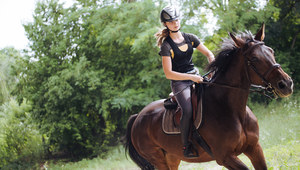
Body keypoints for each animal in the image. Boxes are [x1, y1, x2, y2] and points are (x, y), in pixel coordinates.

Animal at [123, 24, 292, 170]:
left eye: (271, 51)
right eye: (254, 59)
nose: (286, 84)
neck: (232, 110)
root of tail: (138, 117)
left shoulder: (254, 148)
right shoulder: (225, 157)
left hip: (172, 158)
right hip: (158, 159)